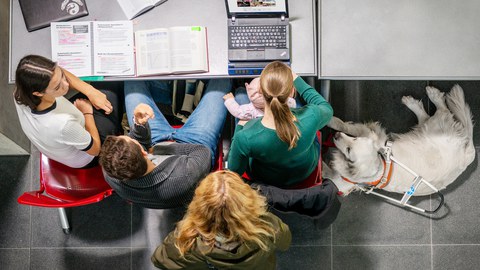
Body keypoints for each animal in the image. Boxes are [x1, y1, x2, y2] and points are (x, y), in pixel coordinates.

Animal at [322, 84, 476, 196]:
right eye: (353, 140)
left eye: (349, 150)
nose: (336, 136)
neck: (380, 165)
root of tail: (468, 152)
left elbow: (344, 126)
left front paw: (329, 120)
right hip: (423, 130)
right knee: (424, 116)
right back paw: (413, 102)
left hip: (434, 127)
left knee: (443, 111)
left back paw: (433, 96)